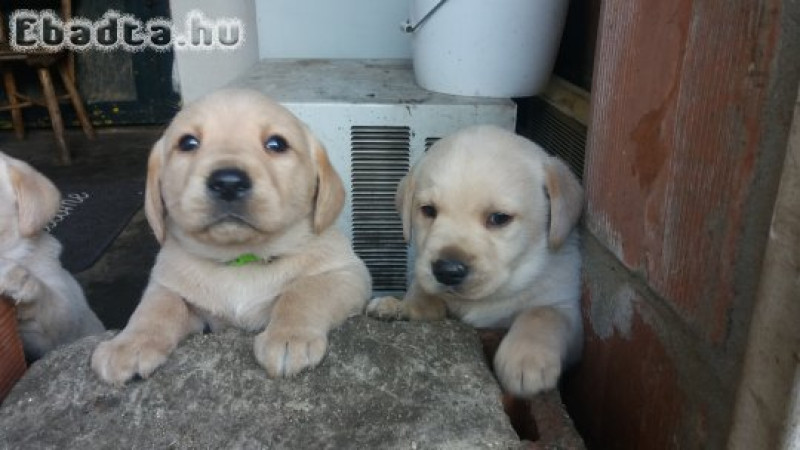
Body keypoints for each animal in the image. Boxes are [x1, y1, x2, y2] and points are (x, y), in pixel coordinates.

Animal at [91, 89, 372, 384]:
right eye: (188, 143)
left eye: (277, 144)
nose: (228, 182)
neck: (240, 259)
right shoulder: (170, 286)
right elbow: (157, 306)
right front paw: (129, 345)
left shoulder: (348, 273)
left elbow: (304, 291)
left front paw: (289, 337)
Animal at [368, 125, 580, 398]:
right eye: (428, 210)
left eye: (499, 218)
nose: (447, 271)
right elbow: (423, 293)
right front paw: (401, 306)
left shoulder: (566, 306)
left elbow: (543, 312)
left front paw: (526, 359)